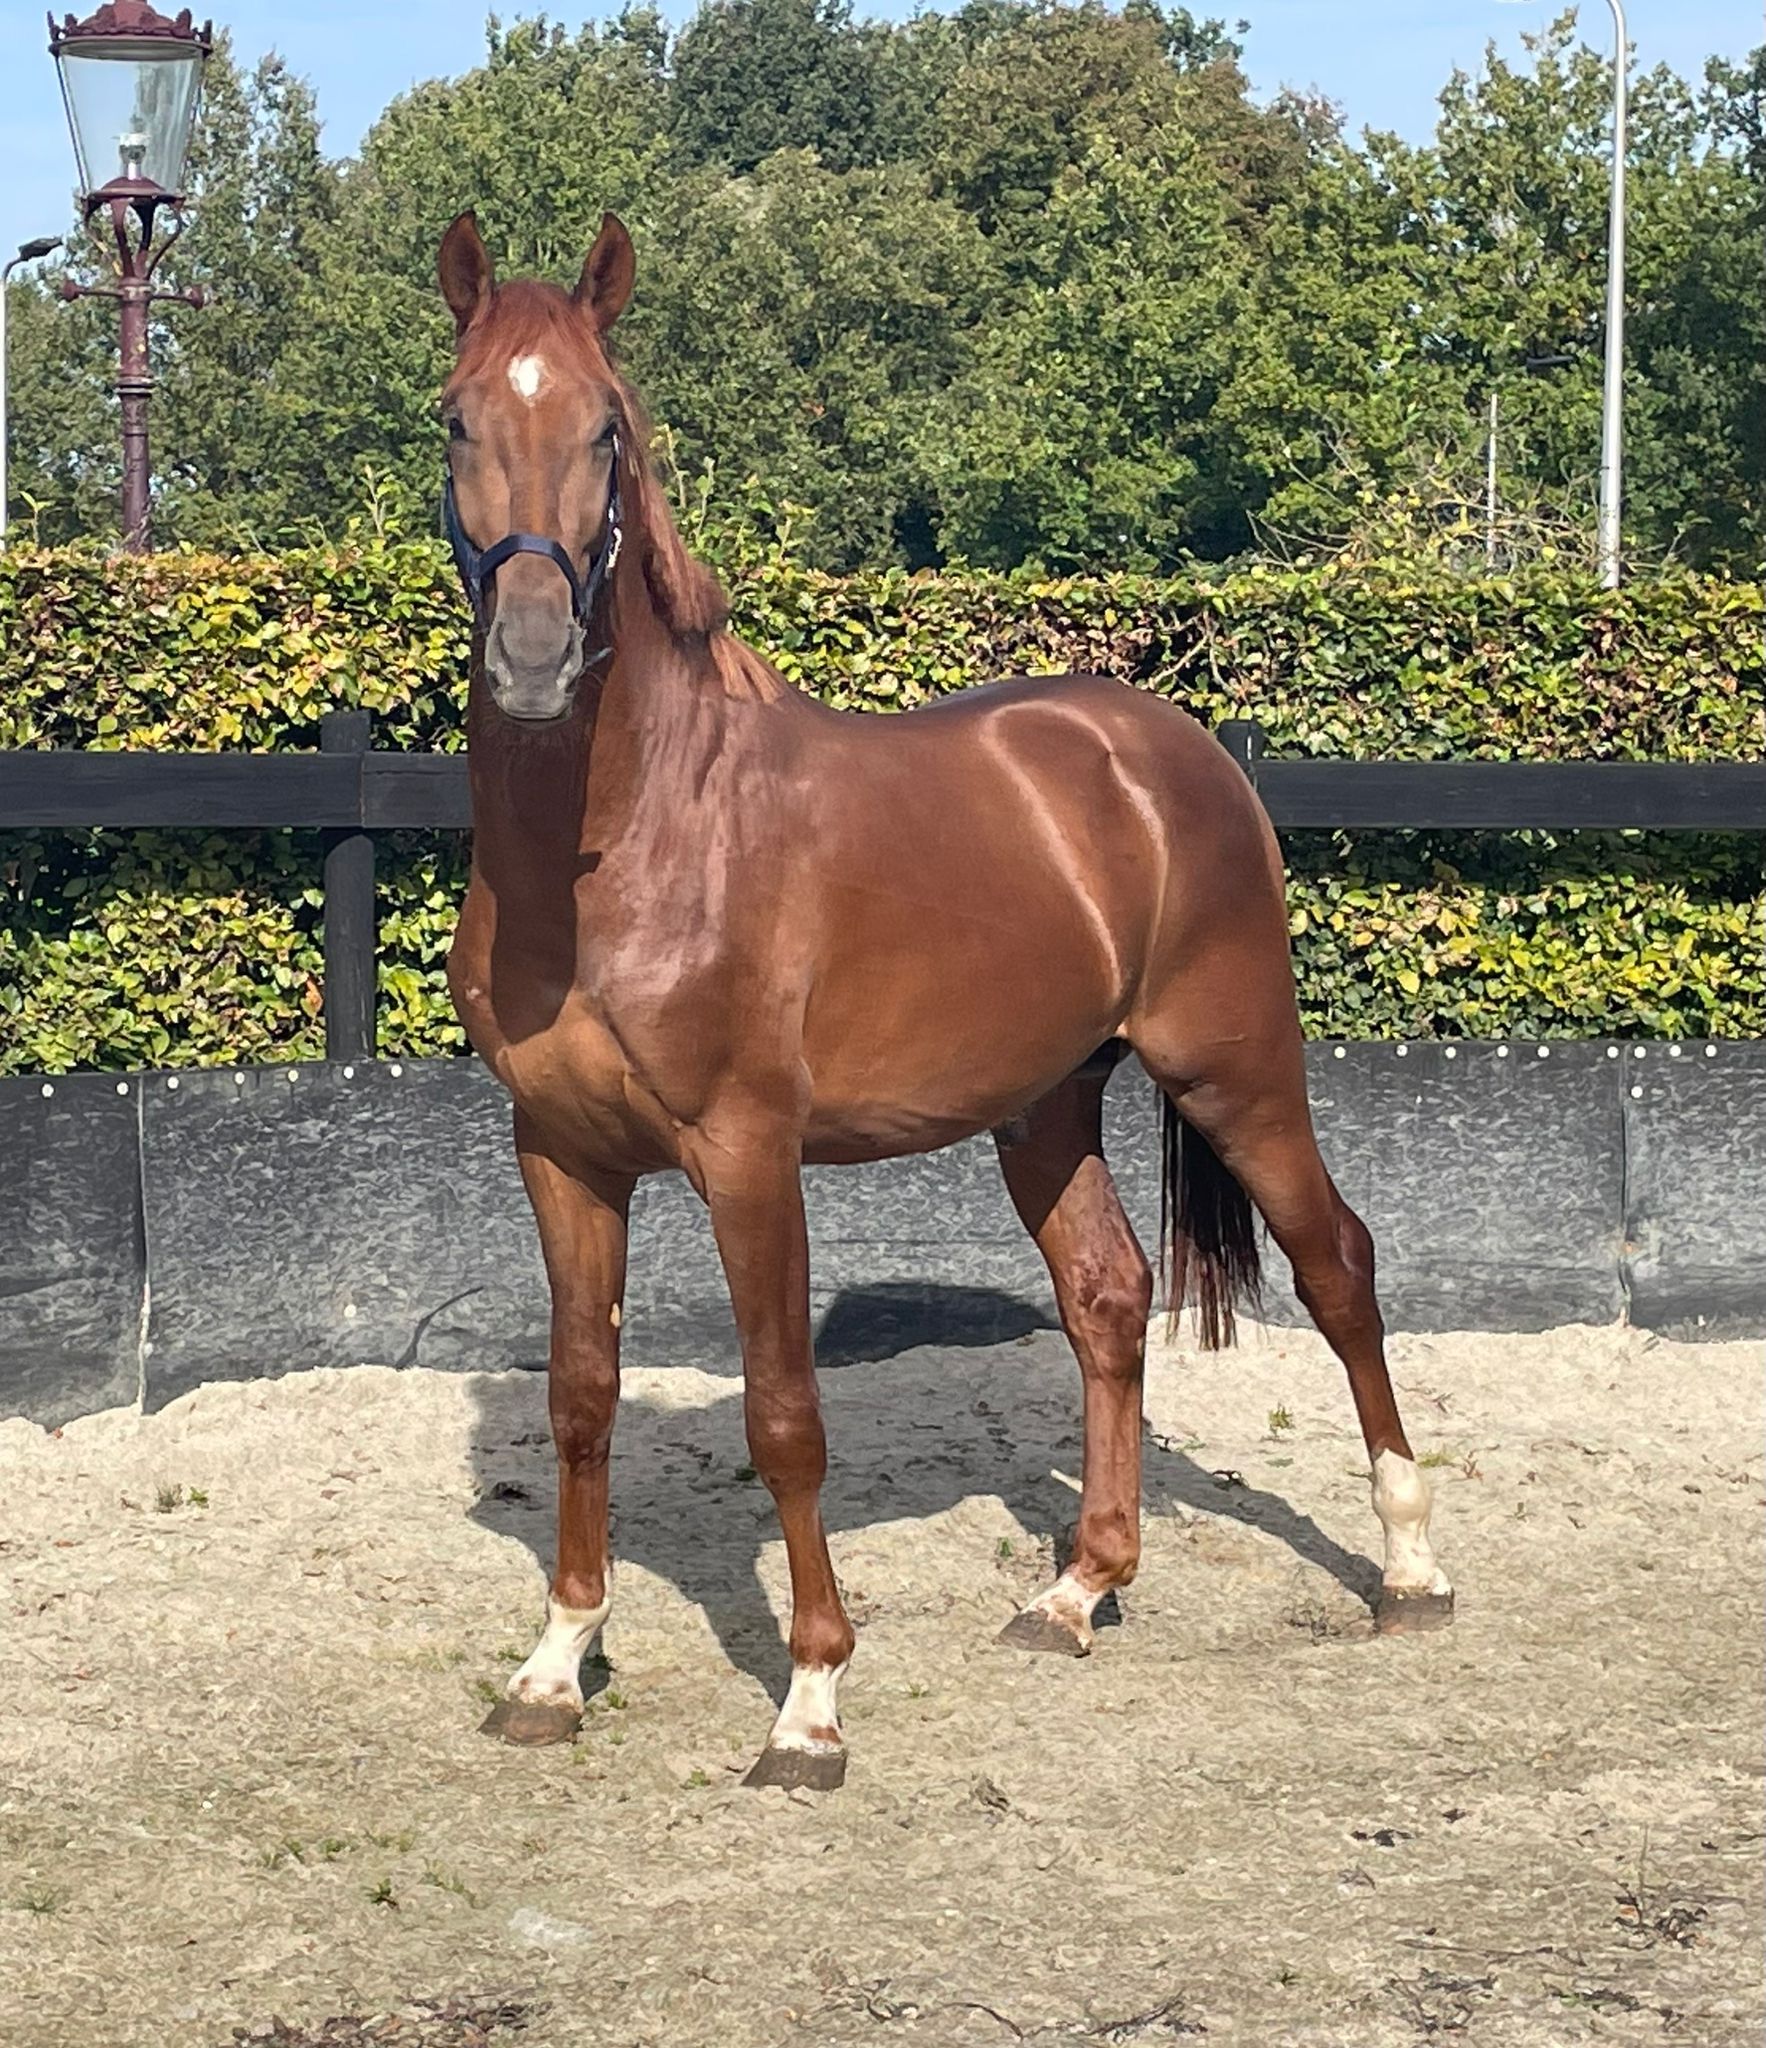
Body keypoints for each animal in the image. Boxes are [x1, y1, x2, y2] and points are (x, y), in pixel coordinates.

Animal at [437, 210, 1453, 1790]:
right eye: (456, 417)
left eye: (609, 428)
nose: (536, 652)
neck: (631, 842)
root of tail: (1172, 747)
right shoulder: (560, 1155)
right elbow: (579, 1399)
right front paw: (554, 1663)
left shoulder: (748, 1155)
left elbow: (784, 1413)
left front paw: (808, 1700)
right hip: (1046, 1105)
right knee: (1108, 1297)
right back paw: (1077, 1587)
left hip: (1233, 1069)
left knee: (1335, 1263)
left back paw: (1406, 1568)